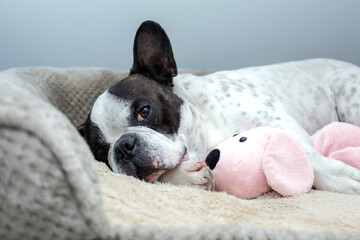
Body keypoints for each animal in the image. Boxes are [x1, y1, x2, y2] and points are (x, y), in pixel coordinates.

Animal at [79, 20, 360, 193]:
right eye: (100, 151)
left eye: (144, 111)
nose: (123, 147)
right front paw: (185, 177)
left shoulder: (278, 122)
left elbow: (303, 154)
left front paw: (338, 176)